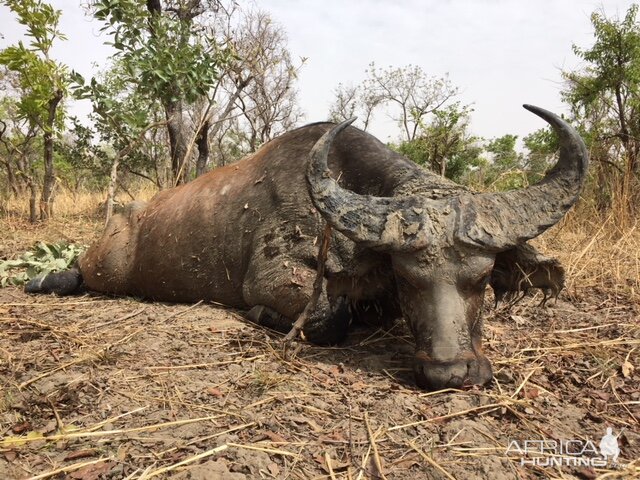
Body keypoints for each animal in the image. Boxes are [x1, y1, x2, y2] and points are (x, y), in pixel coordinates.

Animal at [27, 105, 588, 390]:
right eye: (407, 278)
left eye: (482, 279)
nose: (449, 373)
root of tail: (129, 216)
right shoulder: (276, 278)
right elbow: (327, 316)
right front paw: (263, 316)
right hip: (105, 266)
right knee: (78, 272)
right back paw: (46, 278)